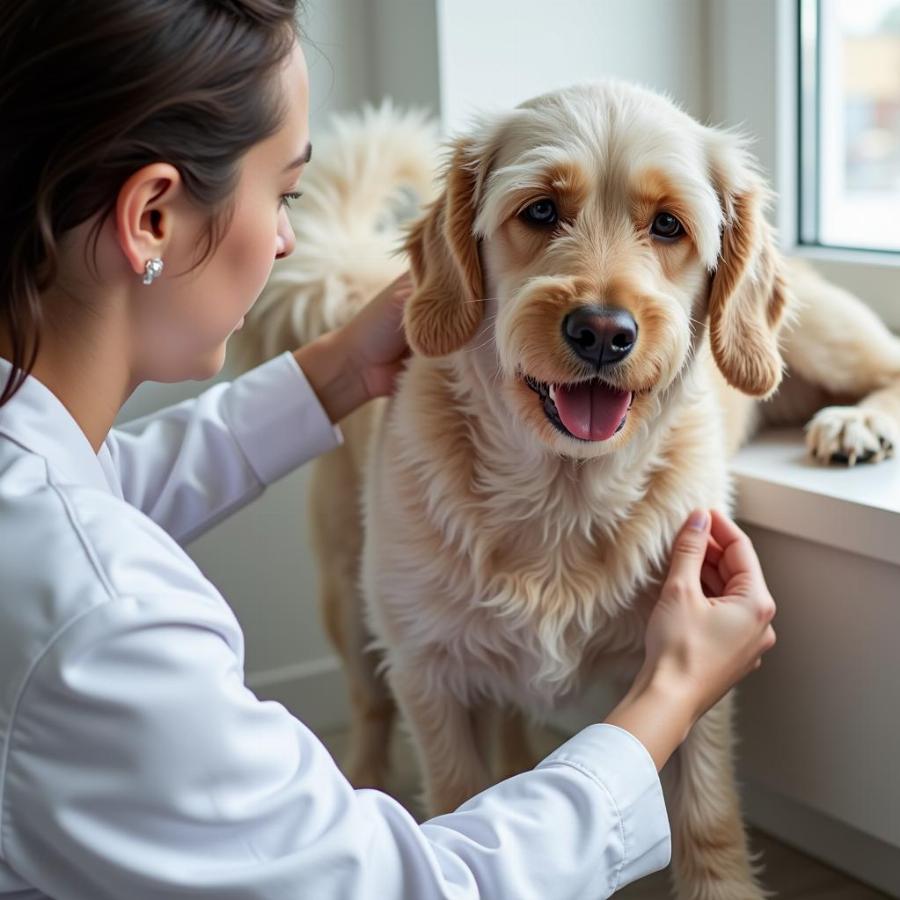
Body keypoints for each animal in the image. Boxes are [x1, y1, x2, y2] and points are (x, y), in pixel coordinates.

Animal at [236, 86, 900, 900]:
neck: (563, 494)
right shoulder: (431, 674)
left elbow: (706, 816)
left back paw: (854, 423)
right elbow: (458, 797)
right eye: (542, 211)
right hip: (351, 602)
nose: (602, 331)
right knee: (371, 714)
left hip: (823, 338)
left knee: (887, 368)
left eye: (669, 224)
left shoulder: (693, 679)